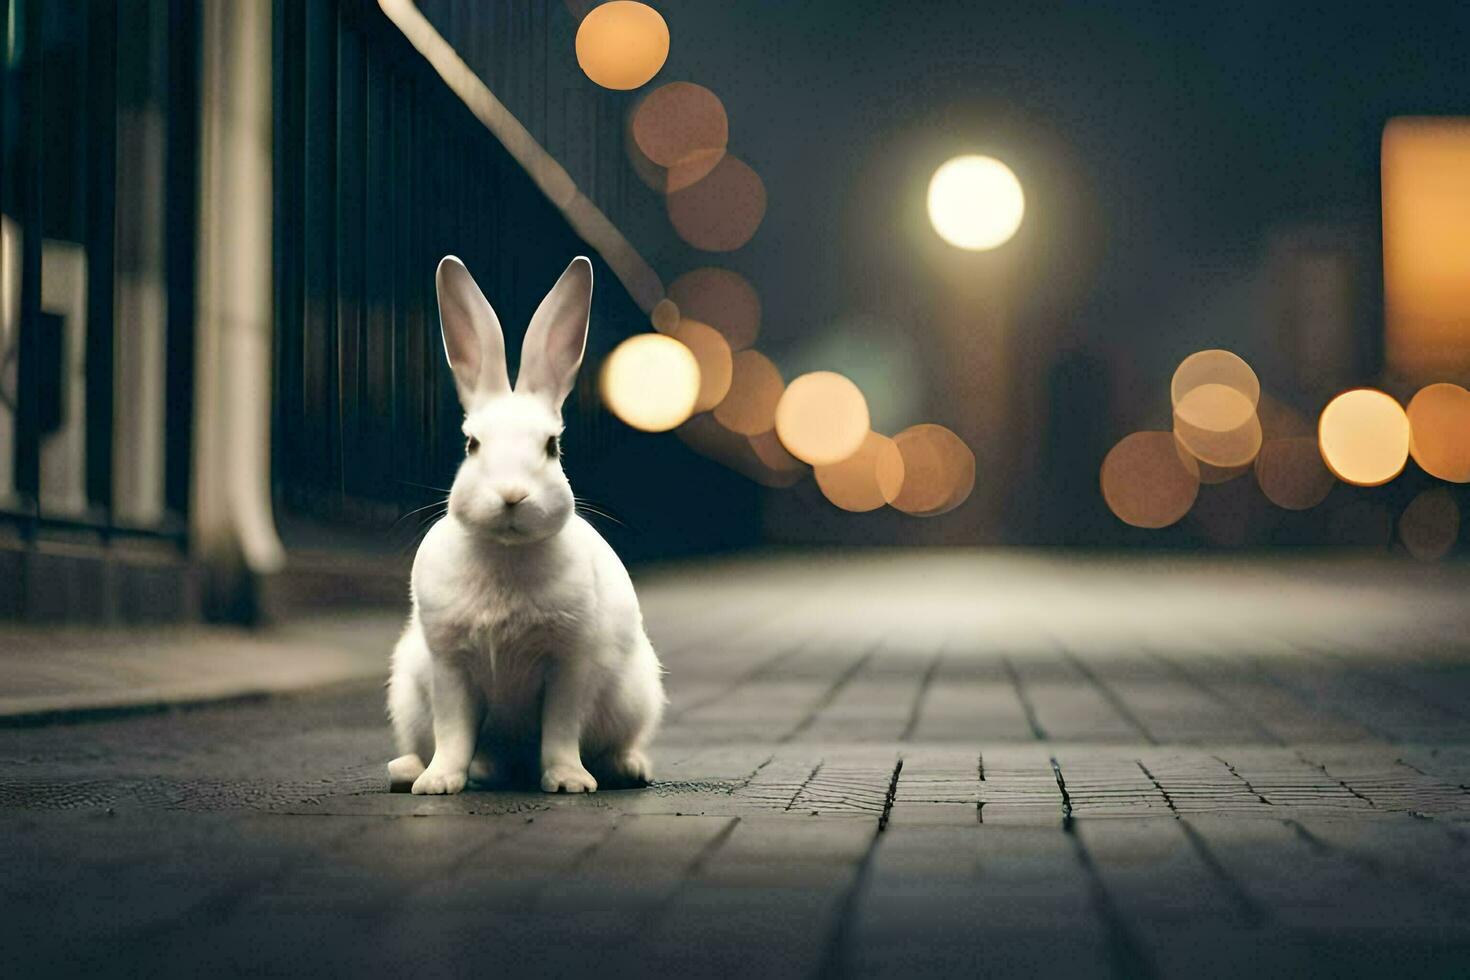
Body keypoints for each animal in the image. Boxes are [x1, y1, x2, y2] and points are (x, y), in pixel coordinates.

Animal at [391, 255, 667, 799]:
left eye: (551, 447)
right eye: (472, 444)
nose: (513, 495)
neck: (506, 551)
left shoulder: (567, 664)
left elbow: (560, 731)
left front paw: (568, 782)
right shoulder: (449, 665)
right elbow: (452, 732)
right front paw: (438, 783)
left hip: (635, 694)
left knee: (615, 744)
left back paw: (629, 768)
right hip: (408, 691)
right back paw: (413, 770)